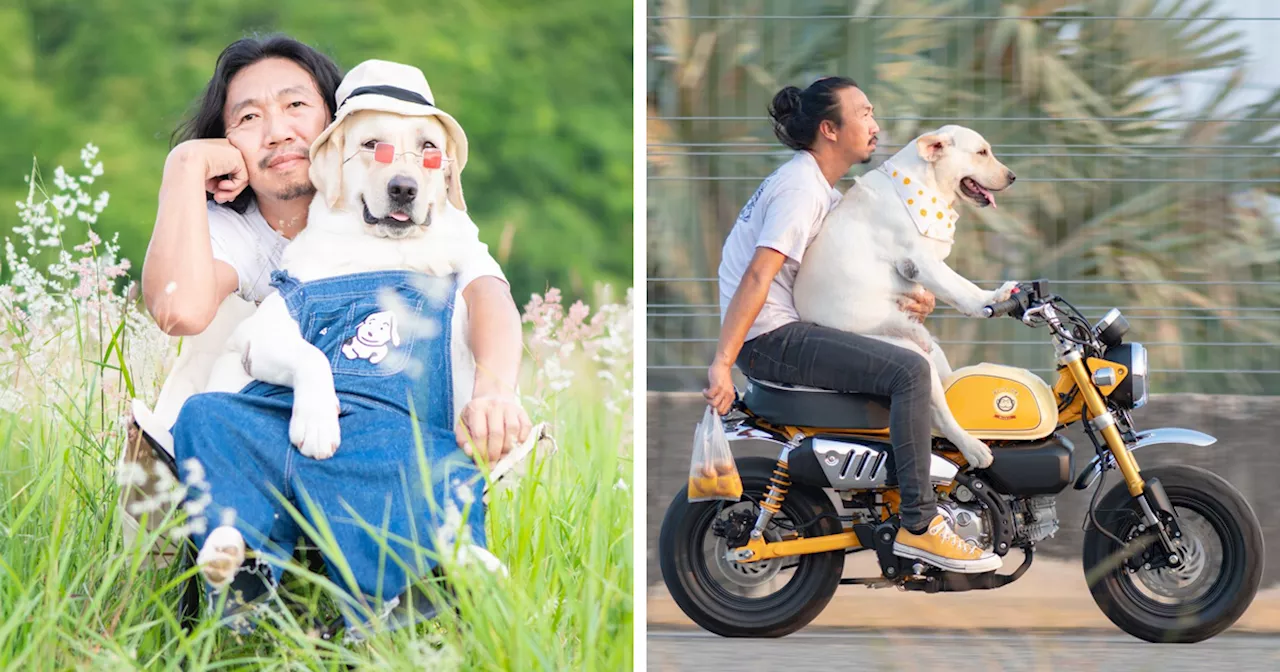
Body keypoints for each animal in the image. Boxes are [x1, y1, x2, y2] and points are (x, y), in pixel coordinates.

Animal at [788, 125, 1018, 468]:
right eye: (981, 153)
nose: (1012, 177)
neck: (922, 185)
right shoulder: (922, 262)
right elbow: (961, 289)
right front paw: (989, 301)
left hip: (933, 352)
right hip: (911, 358)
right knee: (940, 414)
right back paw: (972, 448)